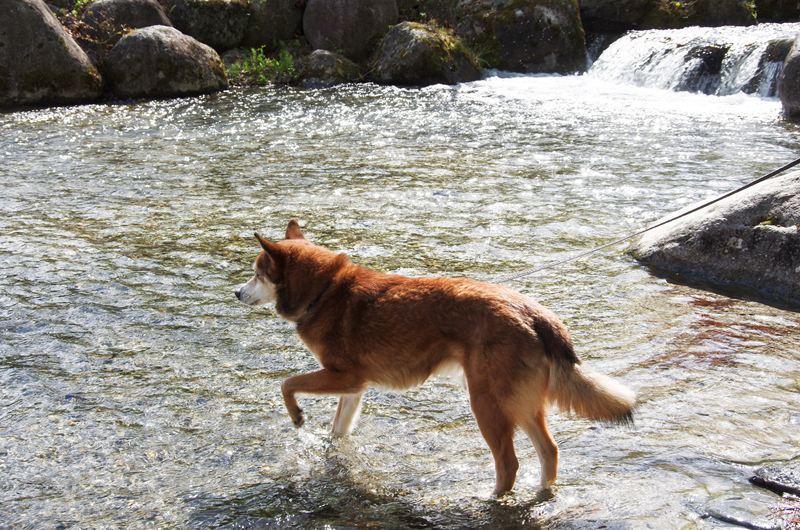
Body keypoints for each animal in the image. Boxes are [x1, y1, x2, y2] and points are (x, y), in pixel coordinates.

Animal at [234, 221, 636, 492]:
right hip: (521, 404)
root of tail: (533, 314)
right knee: (549, 451)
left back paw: (491, 498)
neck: (325, 289)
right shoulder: (354, 389)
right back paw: (543, 491)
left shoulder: (343, 377)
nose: (236, 293)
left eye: (257, 273)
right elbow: (338, 431)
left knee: (509, 463)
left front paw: (298, 417)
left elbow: (286, 384)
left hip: (487, 405)